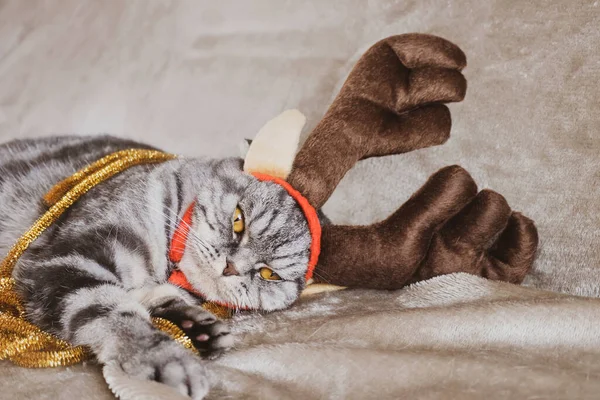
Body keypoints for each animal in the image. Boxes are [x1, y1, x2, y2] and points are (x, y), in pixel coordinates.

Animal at [1, 135, 314, 400]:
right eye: (239, 220)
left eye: (269, 274)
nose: (231, 267)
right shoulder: (66, 261)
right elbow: (116, 313)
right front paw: (166, 359)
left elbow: (153, 298)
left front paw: (196, 326)